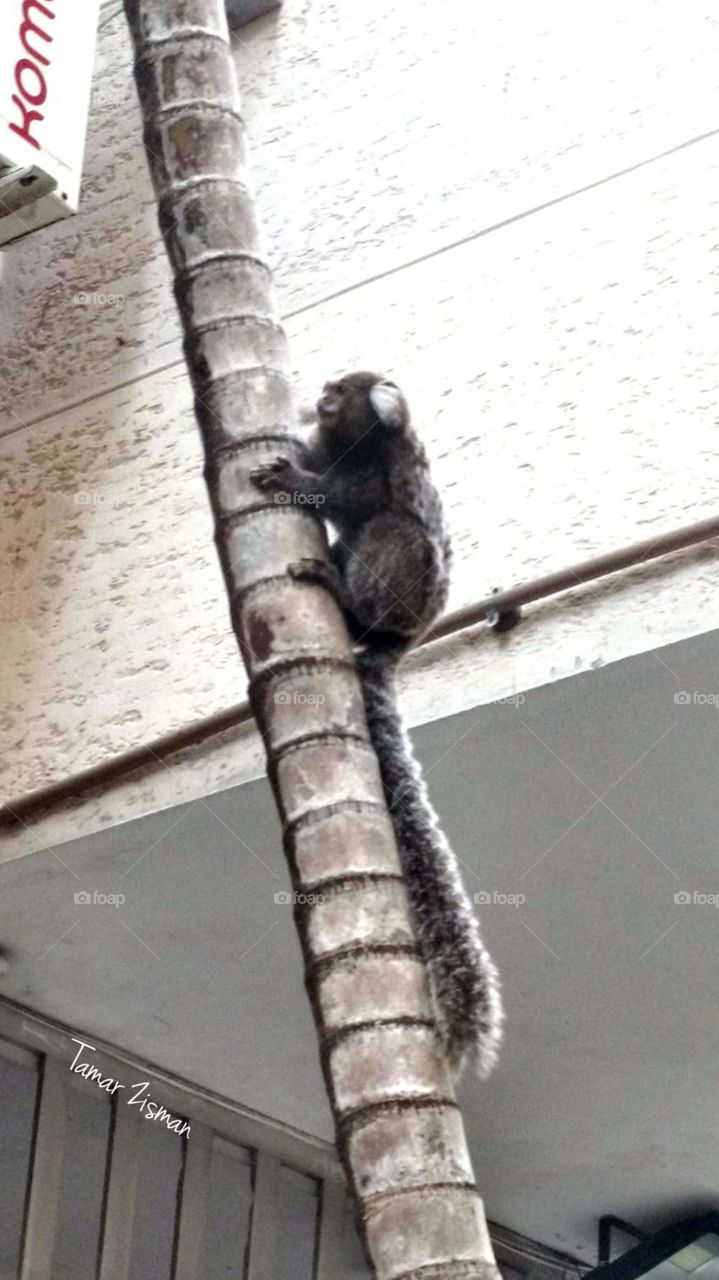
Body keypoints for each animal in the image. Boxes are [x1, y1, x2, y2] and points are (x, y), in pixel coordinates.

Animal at [251, 371, 504, 1077]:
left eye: (343, 391)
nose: (323, 395)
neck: (359, 445)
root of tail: (402, 640)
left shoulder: (376, 476)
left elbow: (349, 501)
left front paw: (293, 476)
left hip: (403, 590)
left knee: (391, 533)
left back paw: (342, 595)